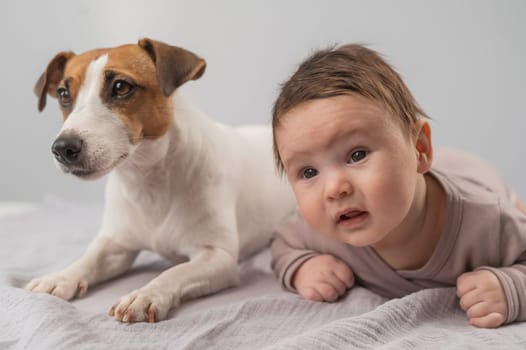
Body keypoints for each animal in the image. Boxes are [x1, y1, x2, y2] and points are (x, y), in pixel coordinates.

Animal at [25, 37, 296, 322]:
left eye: (120, 87)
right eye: (64, 94)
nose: (62, 148)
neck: (147, 179)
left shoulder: (218, 257)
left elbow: (174, 272)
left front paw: (145, 295)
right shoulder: (116, 245)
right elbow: (88, 259)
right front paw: (59, 277)